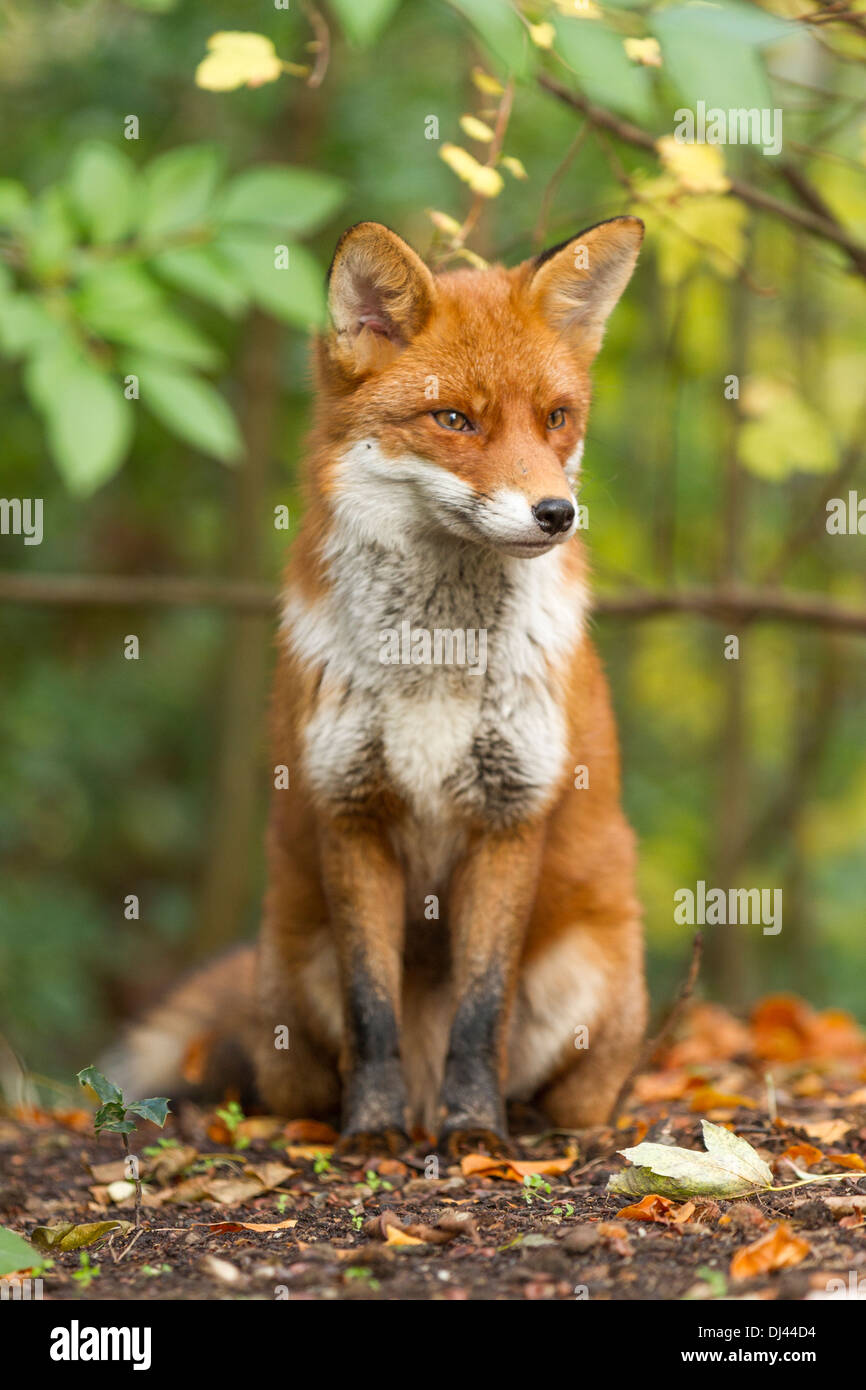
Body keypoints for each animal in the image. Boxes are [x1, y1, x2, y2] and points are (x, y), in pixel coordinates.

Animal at [111, 216, 648, 1153]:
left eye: (556, 418)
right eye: (454, 419)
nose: (556, 514)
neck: (434, 660)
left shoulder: (509, 814)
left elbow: (481, 1010)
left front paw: (475, 1131)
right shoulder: (350, 809)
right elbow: (372, 1011)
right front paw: (371, 1129)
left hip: (589, 981)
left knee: (566, 1092)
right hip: (293, 973)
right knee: (286, 1080)